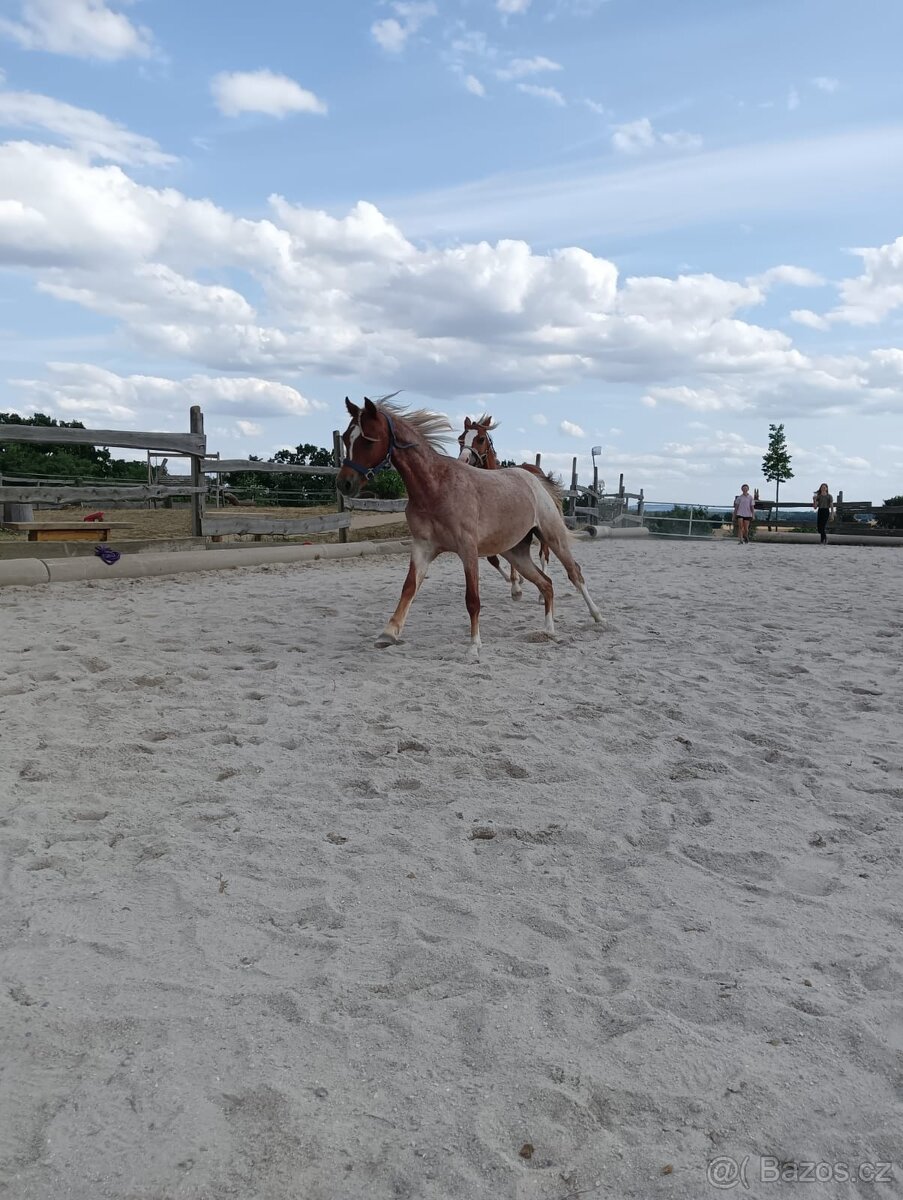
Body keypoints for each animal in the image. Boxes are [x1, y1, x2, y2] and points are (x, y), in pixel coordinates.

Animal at [457, 414, 551, 600]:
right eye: (461, 439)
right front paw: (514, 582)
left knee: (544, 555)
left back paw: (539, 594)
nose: (463, 460)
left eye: (480, 439)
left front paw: (516, 587)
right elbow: (493, 559)